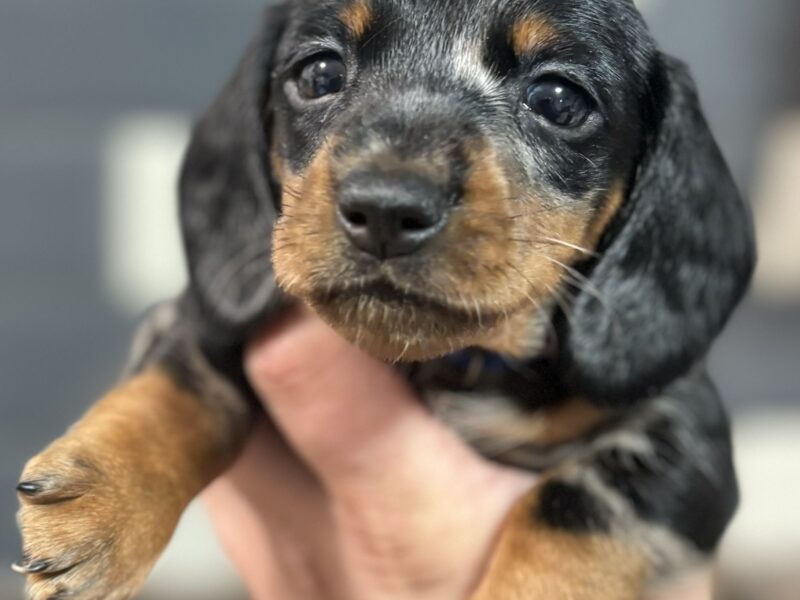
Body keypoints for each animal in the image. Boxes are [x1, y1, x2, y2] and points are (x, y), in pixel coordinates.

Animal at [12, 0, 752, 596]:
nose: (387, 210)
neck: (448, 366)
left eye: (559, 99)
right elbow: (183, 384)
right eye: (318, 73)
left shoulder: (687, 435)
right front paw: (102, 500)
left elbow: (577, 509)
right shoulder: (204, 318)